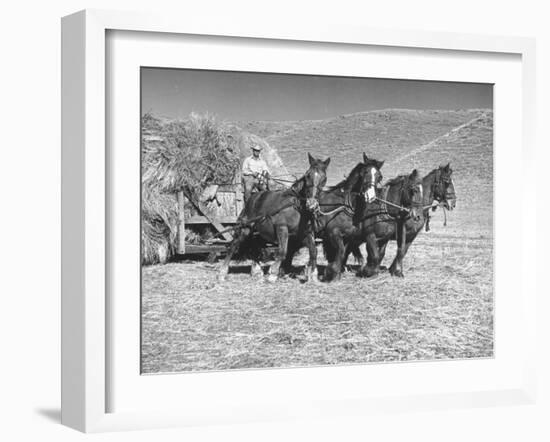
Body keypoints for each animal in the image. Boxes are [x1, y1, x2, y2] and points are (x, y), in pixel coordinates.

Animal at [219, 153, 332, 284]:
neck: (295, 206)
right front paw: (272, 274)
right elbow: (282, 252)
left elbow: (313, 251)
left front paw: (313, 275)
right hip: (245, 228)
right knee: (234, 245)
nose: (312, 204)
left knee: (255, 246)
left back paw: (256, 270)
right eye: (308, 175)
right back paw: (222, 272)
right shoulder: (282, 229)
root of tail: (252, 198)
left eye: (324, 178)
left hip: (259, 232)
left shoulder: (305, 233)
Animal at [312, 154, 386, 282]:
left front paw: (336, 272)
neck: (347, 206)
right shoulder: (333, 233)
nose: (370, 196)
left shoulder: (348, 237)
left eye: (379, 176)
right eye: (364, 172)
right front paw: (331, 272)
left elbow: (343, 254)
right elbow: (341, 252)